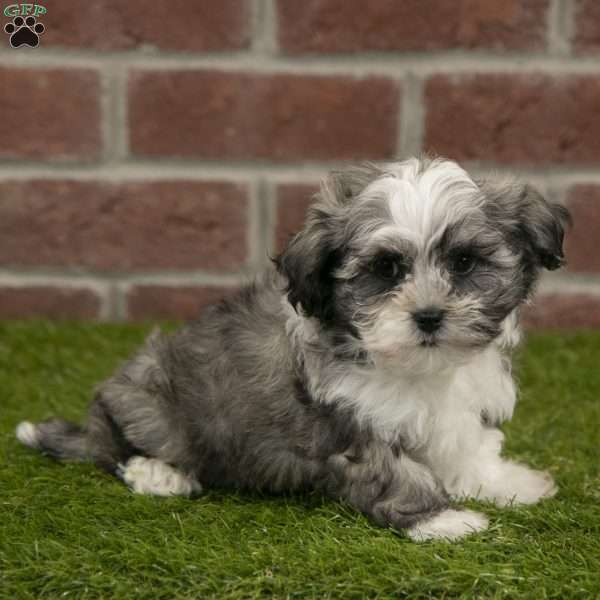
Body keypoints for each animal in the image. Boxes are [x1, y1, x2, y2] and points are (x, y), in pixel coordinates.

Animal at [17, 157, 572, 540]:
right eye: (386, 269)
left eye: (463, 262)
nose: (430, 316)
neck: (418, 368)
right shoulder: (351, 422)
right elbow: (398, 473)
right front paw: (443, 521)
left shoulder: (453, 409)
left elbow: (466, 447)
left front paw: (505, 483)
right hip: (150, 407)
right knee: (117, 451)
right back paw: (159, 474)